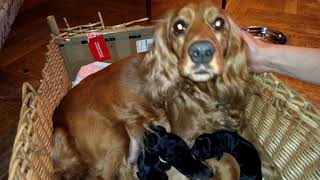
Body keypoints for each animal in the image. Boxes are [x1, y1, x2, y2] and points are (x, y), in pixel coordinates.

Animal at [52, 1, 278, 179]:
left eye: (218, 23)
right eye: (179, 26)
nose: (201, 52)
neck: (205, 92)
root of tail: (58, 117)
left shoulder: (237, 119)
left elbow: (260, 149)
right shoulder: (189, 136)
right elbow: (229, 162)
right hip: (112, 144)